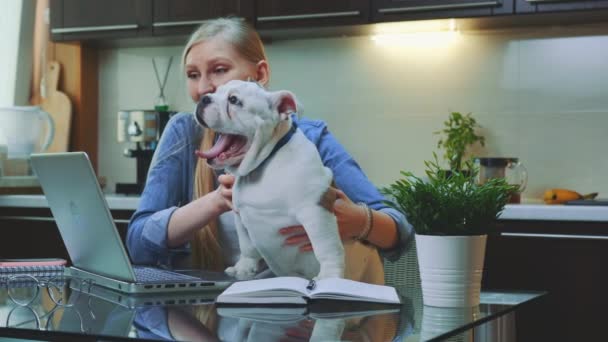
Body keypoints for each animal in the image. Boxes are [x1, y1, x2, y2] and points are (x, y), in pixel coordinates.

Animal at [196, 80, 344, 280]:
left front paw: (330, 275)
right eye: (215, 91)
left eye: (234, 100)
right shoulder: (240, 215)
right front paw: (244, 267)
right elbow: (247, 246)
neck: (262, 163)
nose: (204, 98)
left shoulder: (315, 210)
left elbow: (326, 246)